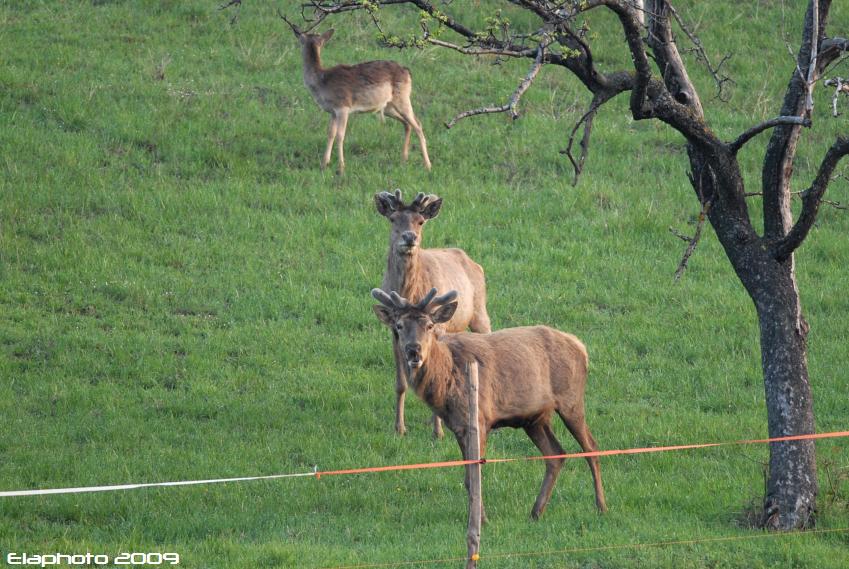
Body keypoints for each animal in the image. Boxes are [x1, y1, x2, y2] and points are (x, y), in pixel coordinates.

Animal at [284, 17, 430, 173]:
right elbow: (330, 134)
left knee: (418, 124)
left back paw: (428, 165)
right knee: (407, 124)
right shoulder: (332, 111)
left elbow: (340, 135)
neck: (322, 83)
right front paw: (324, 164)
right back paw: (404, 160)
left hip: (402, 98)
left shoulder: (343, 107)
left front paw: (341, 168)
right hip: (388, 106)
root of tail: (407, 72)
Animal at [370, 288, 604, 520]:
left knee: (591, 447)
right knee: (556, 454)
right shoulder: (458, 426)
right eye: (399, 326)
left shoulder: (480, 419)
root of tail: (581, 347)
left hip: (571, 400)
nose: (414, 350)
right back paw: (536, 512)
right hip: (535, 418)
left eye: (429, 325)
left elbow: (475, 475)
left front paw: (481, 519)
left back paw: (601, 506)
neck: (447, 379)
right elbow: (467, 478)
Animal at [376, 189, 494, 438]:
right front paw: (399, 428)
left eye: (420, 221)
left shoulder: (435, 326)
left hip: (480, 312)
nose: (409, 237)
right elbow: (400, 383)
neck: (409, 292)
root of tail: (472, 261)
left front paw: (438, 433)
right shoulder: (393, 331)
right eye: (393, 219)